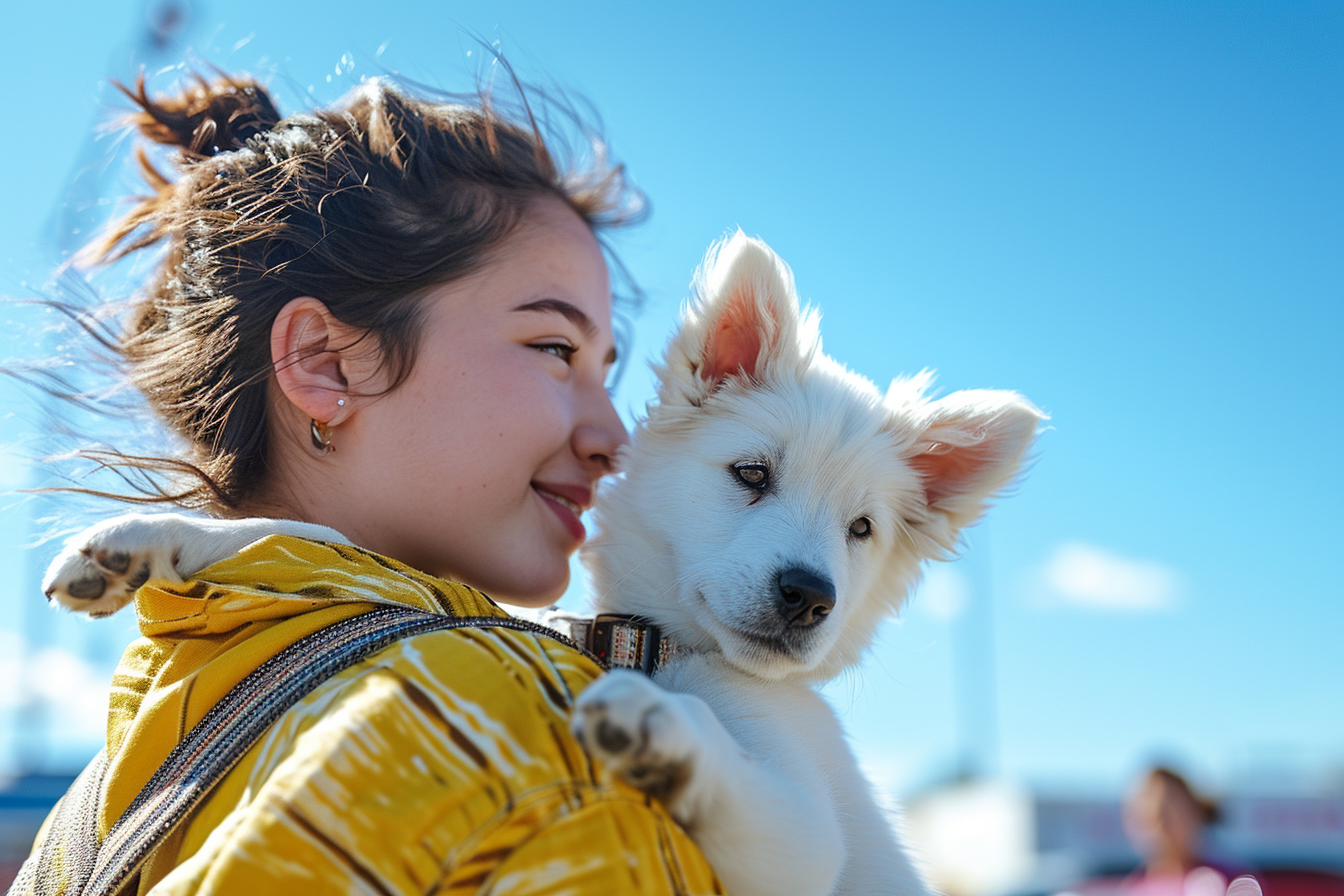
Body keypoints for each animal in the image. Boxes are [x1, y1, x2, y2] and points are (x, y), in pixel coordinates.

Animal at [47, 233, 1042, 896]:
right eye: (752, 474)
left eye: (861, 530)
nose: (809, 597)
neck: (658, 646)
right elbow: (317, 536)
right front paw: (158, 540)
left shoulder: (801, 839)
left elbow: (731, 766)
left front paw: (657, 727)